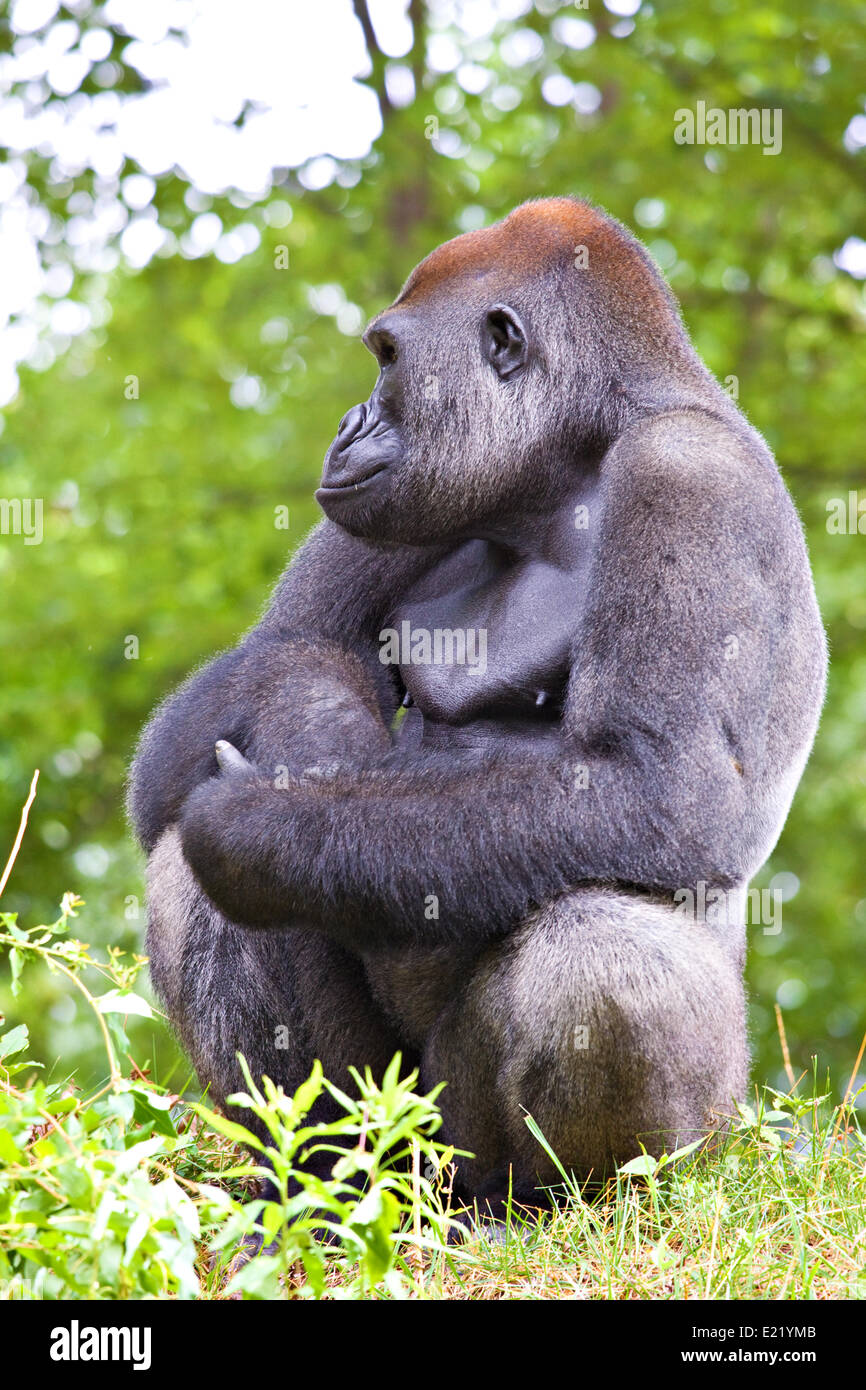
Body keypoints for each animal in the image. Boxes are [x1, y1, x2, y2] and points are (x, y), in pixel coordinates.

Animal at [128, 198, 828, 1217]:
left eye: (387, 357)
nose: (348, 424)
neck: (574, 458)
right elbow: (211, 717)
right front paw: (293, 721)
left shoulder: (689, 474)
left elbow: (662, 788)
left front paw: (261, 814)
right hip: (398, 1126)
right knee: (192, 864)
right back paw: (322, 1186)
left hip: (622, 1138)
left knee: (601, 949)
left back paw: (559, 1200)